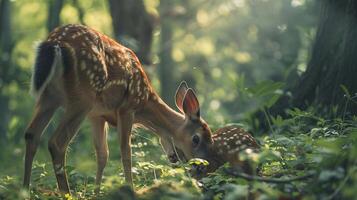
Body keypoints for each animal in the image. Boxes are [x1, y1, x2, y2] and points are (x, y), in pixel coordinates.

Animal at [23, 24, 213, 193]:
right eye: (196, 139)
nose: (201, 168)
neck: (145, 103)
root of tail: (55, 42)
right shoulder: (127, 109)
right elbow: (126, 152)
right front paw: (130, 188)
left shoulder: (97, 115)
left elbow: (103, 154)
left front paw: (97, 192)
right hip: (82, 96)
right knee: (57, 142)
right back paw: (66, 193)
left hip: (50, 96)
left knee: (31, 134)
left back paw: (25, 190)